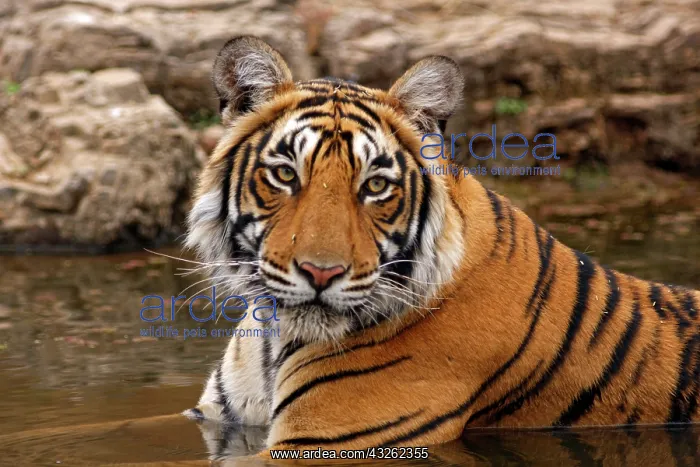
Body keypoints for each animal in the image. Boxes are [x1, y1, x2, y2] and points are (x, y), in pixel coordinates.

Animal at [183, 35, 700, 459]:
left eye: (375, 186)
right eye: (285, 174)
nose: (321, 273)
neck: (276, 339)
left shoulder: (330, 439)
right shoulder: (214, 416)